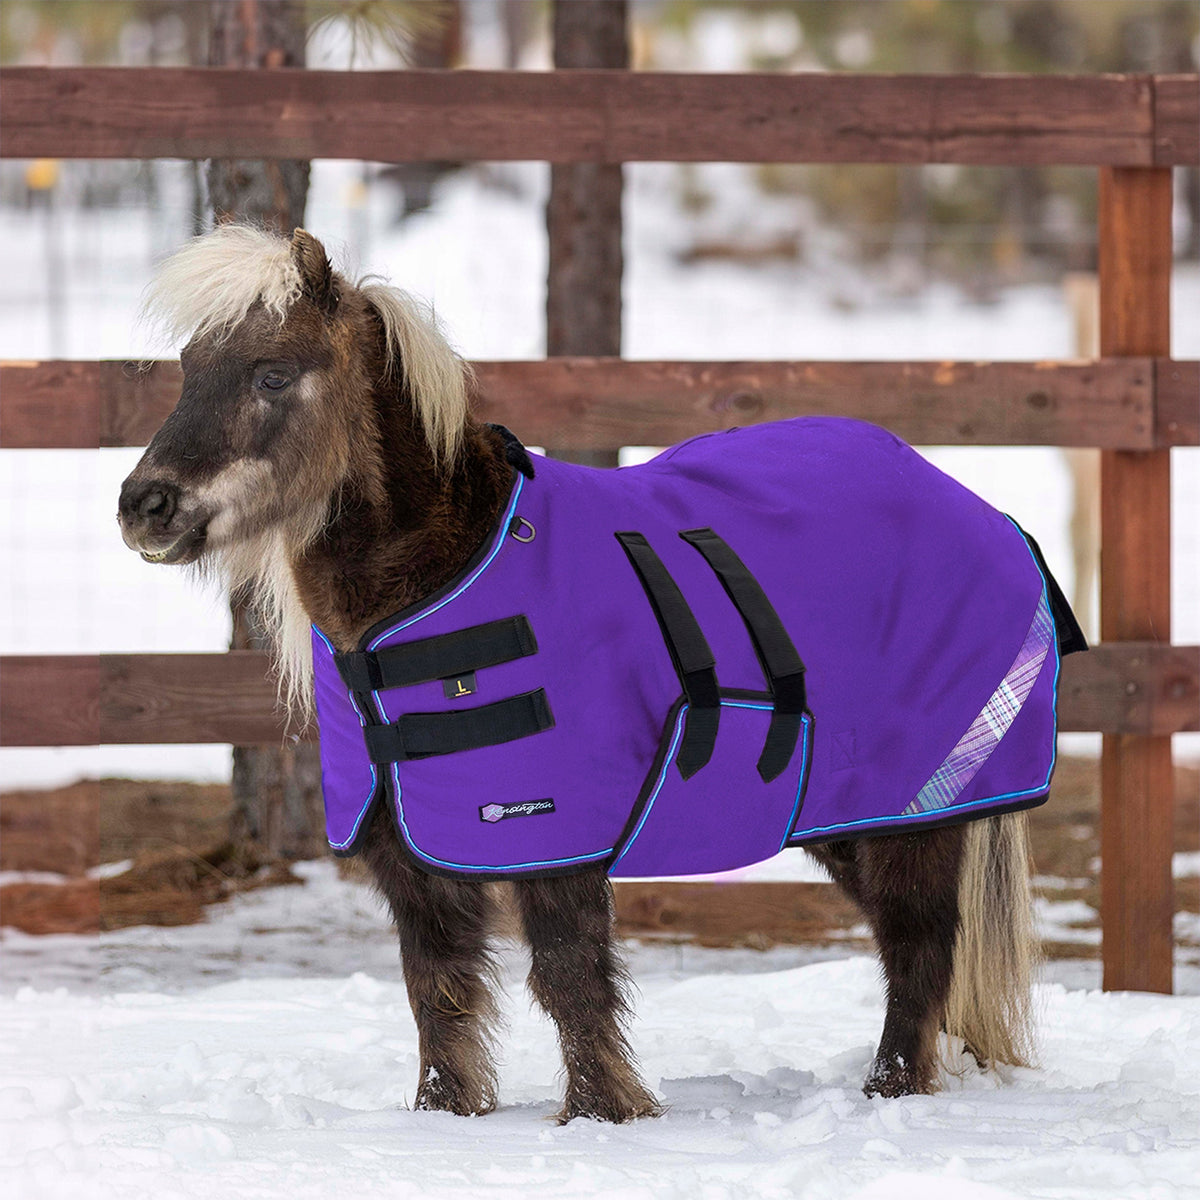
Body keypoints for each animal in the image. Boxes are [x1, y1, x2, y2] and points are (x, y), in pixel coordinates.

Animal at [118, 225, 1056, 1123]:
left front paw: (604, 1115)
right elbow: (437, 987)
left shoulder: (558, 841)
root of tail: (979, 510)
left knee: (917, 940)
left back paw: (890, 1091)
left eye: (272, 373)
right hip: (848, 814)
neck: (441, 582)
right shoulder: (407, 855)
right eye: (188, 368)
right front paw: (442, 1116)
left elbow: (567, 979)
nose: (144, 507)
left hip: (913, 812)